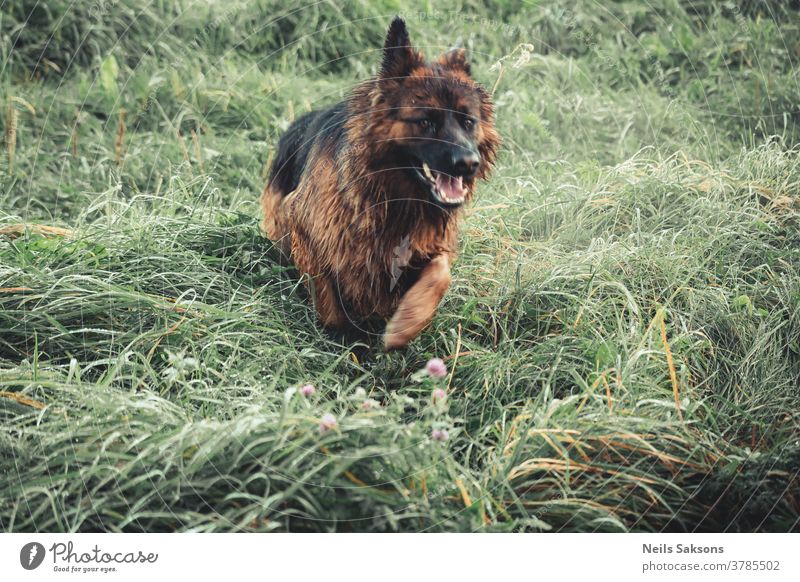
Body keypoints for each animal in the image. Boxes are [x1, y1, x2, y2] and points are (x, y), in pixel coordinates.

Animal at [262, 16, 496, 350]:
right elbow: (327, 296)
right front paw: (344, 336)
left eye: (468, 121)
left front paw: (407, 323)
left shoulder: (432, 241)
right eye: (425, 122)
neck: (393, 197)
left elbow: (440, 274)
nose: (468, 163)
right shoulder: (305, 227)